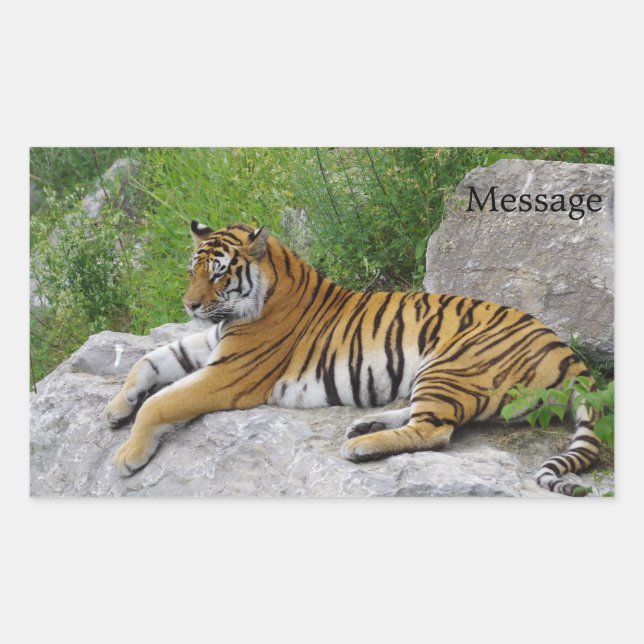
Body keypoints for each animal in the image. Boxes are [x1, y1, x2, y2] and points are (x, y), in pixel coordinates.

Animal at [102, 221, 602, 496]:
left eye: (219, 274)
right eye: (193, 271)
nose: (189, 306)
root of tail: (570, 355)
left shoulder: (228, 374)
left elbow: (161, 402)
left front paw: (127, 456)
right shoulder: (211, 343)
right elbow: (147, 361)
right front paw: (114, 409)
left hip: (452, 364)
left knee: (436, 431)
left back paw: (361, 446)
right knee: (429, 418)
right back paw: (365, 425)